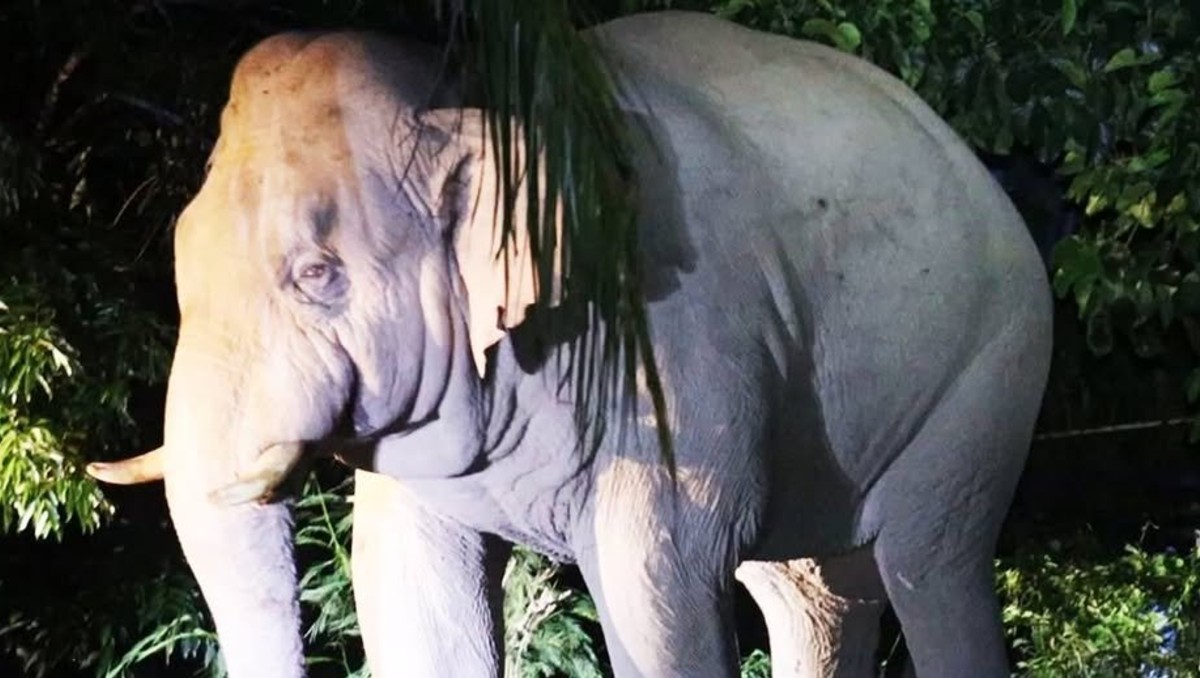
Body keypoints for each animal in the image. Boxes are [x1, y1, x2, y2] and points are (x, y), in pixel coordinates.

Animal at [88, 10, 1052, 678]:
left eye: (318, 275)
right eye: (178, 258)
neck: (475, 101)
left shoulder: (677, 352)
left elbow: (658, 582)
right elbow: (409, 587)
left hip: (991, 374)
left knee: (930, 565)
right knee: (813, 594)